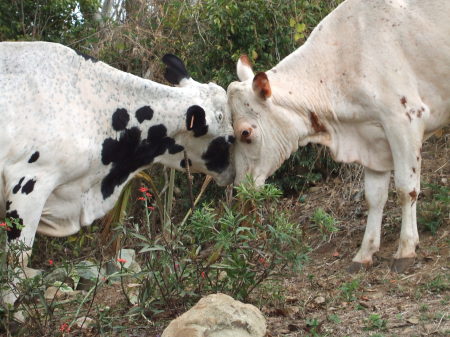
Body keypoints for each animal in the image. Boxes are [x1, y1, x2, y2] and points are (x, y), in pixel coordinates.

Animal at [229, 0, 450, 272]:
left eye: (245, 133)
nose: (240, 187)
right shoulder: (373, 139)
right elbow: (374, 197)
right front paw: (365, 252)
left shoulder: (405, 118)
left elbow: (405, 188)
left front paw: (406, 249)